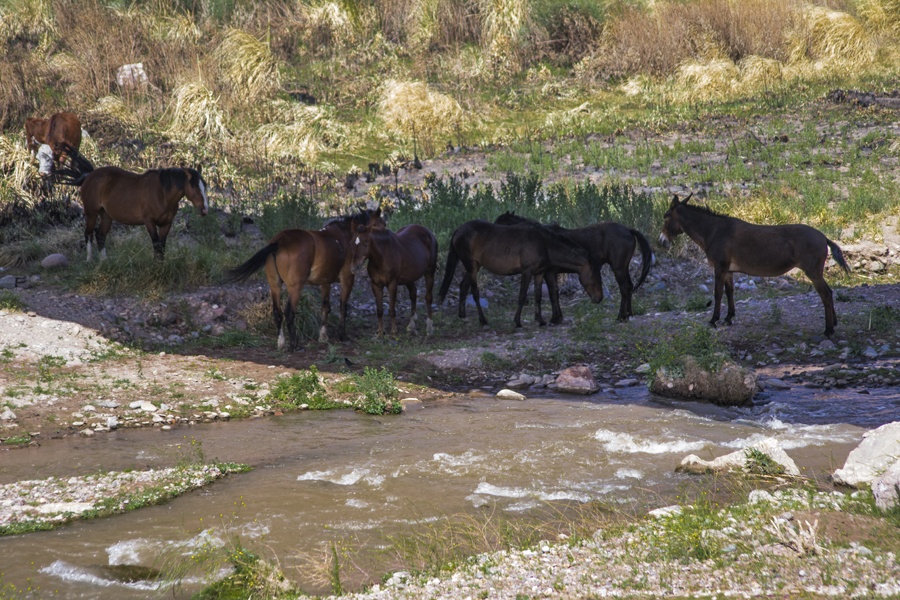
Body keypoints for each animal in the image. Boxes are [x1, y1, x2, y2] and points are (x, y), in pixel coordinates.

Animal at [52, 145, 207, 260]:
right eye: (193, 186)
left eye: (205, 185)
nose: (204, 209)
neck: (162, 194)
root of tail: (88, 175)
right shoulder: (149, 222)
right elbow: (156, 245)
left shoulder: (166, 224)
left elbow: (162, 247)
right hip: (91, 213)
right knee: (88, 234)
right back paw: (89, 260)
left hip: (106, 216)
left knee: (100, 235)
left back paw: (104, 261)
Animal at [225, 212, 380, 350]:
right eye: (363, 243)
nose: (356, 266)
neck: (344, 236)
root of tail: (279, 241)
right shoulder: (347, 279)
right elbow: (343, 307)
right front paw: (342, 335)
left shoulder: (325, 282)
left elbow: (325, 307)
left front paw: (323, 336)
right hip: (295, 288)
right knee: (289, 313)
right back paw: (295, 345)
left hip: (275, 285)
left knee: (277, 312)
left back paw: (281, 343)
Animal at [438, 220, 604, 328]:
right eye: (595, 277)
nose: (599, 298)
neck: (544, 244)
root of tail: (458, 230)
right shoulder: (527, 272)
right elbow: (522, 296)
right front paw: (517, 321)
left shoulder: (539, 273)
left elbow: (537, 296)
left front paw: (541, 320)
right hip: (471, 266)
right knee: (474, 291)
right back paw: (483, 320)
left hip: (474, 266)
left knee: (463, 286)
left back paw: (463, 317)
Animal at [492, 212, 652, 324]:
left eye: (499, 223)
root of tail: (629, 230)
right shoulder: (551, 273)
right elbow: (555, 293)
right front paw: (557, 317)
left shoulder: (549, 273)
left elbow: (552, 294)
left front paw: (555, 319)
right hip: (624, 267)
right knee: (629, 287)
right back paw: (628, 314)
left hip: (618, 268)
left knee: (624, 288)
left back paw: (620, 316)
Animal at [656, 195, 848, 336]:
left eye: (666, 216)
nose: (661, 242)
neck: (714, 231)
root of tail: (823, 237)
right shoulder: (728, 270)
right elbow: (730, 292)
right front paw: (728, 317)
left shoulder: (720, 267)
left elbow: (718, 293)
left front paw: (713, 320)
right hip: (816, 272)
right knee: (829, 292)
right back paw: (834, 323)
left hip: (813, 272)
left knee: (825, 294)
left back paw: (828, 329)